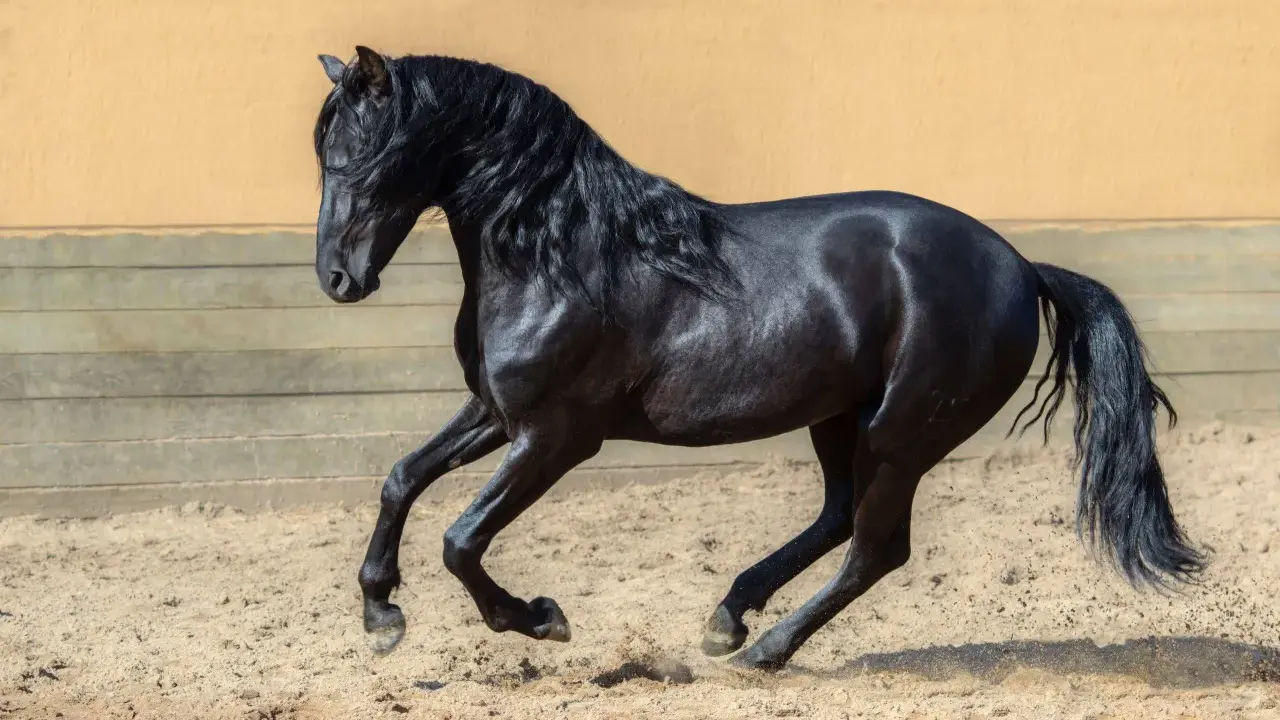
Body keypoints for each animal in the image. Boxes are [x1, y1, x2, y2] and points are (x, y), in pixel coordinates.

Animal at [312, 46, 1204, 671]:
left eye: (366, 157)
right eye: (323, 158)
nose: (337, 279)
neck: (562, 256)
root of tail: (1022, 266)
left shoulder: (557, 438)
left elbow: (461, 539)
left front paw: (537, 618)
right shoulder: (498, 414)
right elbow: (401, 478)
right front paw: (382, 615)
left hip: (904, 434)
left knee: (875, 549)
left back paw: (767, 650)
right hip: (842, 418)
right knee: (840, 518)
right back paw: (728, 618)